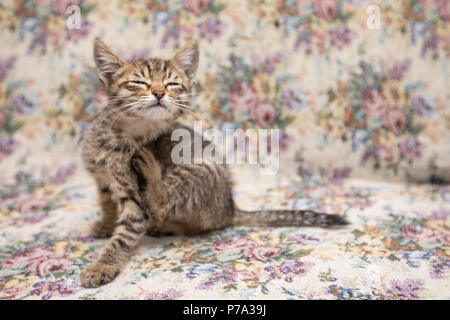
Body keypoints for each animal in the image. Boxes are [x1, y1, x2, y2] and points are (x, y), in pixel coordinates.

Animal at [81, 37, 348, 288]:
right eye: (139, 82)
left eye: (172, 84)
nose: (159, 93)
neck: (120, 138)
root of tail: (228, 208)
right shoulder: (101, 179)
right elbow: (106, 202)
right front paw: (106, 224)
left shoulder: (134, 200)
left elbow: (124, 236)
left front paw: (103, 265)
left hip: (199, 170)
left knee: (162, 206)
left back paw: (152, 176)